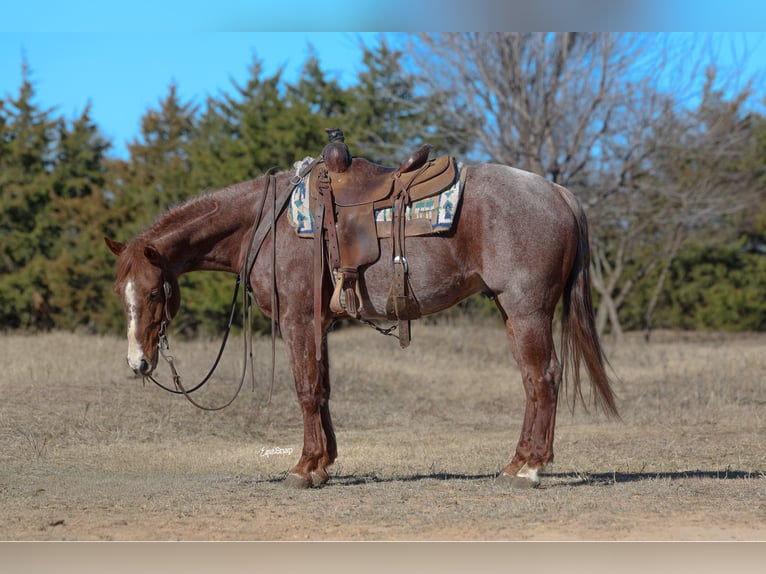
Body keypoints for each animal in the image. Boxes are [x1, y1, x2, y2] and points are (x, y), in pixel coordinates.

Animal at [104, 159, 618, 489]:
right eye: (119, 292)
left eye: (154, 293)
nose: (138, 364)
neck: (264, 225)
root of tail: (557, 192)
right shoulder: (320, 324)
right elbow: (323, 388)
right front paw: (324, 462)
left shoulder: (297, 319)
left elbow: (305, 388)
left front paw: (303, 468)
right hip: (511, 312)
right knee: (533, 381)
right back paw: (517, 464)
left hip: (527, 310)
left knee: (543, 377)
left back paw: (530, 469)